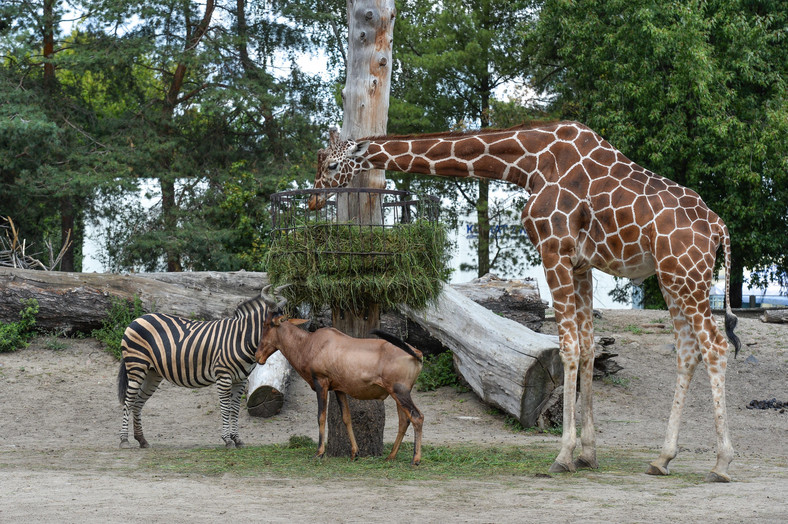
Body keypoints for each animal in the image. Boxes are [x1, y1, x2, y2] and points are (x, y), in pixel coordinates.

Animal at [117, 284, 286, 448]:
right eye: (273, 324)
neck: (241, 338)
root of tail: (138, 319)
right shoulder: (223, 377)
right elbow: (225, 408)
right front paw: (227, 440)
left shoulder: (241, 379)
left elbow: (234, 409)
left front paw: (237, 439)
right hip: (136, 366)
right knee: (128, 402)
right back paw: (124, 441)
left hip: (152, 373)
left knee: (138, 403)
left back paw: (142, 440)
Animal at [255, 310, 424, 464]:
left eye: (267, 325)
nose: (258, 356)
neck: (312, 342)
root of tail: (416, 353)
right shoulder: (339, 389)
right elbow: (346, 418)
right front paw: (355, 453)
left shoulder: (321, 383)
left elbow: (321, 416)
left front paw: (319, 453)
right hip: (398, 394)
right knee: (404, 420)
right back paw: (390, 456)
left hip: (400, 392)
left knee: (417, 417)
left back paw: (415, 459)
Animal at [310, 121, 740, 482]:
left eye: (332, 165)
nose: (313, 201)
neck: (529, 162)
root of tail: (719, 228)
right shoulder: (581, 263)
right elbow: (587, 348)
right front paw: (588, 454)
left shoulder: (553, 251)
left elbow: (568, 347)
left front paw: (563, 456)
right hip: (672, 278)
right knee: (688, 351)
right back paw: (662, 458)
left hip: (685, 274)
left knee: (716, 345)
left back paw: (721, 464)